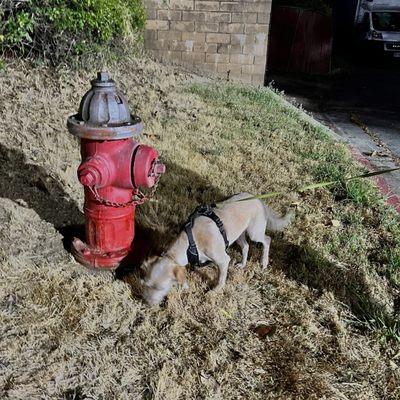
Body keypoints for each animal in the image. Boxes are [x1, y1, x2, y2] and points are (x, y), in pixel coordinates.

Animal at [142, 192, 292, 304]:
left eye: (160, 288)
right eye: (146, 285)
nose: (147, 303)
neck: (190, 243)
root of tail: (257, 198)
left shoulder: (223, 260)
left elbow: (220, 279)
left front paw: (214, 291)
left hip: (254, 232)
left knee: (267, 240)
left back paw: (264, 261)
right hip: (239, 234)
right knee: (246, 246)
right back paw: (243, 264)